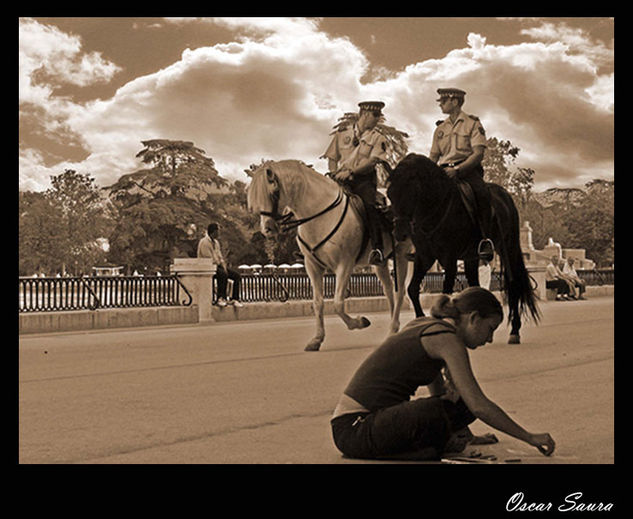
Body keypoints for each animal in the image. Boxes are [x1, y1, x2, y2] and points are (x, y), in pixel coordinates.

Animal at [244, 160, 408, 352]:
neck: (320, 215)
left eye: (274, 192)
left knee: (400, 291)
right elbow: (318, 303)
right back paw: (393, 329)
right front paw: (317, 339)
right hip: (380, 263)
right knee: (389, 290)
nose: (267, 229)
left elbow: (337, 303)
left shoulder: (344, 265)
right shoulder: (312, 266)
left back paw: (393, 328)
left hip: (403, 254)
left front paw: (358, 322)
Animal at [386, 152, 540, 344]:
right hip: (472, 256)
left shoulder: (449, 258)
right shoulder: (424, 257)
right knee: (475, 284)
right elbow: (413, 290)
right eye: (390, 194)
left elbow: (444, 293)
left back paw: (514, 331)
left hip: (508, 249)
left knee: (513, 284)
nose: (399, 233)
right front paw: (420, 322)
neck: (436, 209)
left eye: (411, 192)